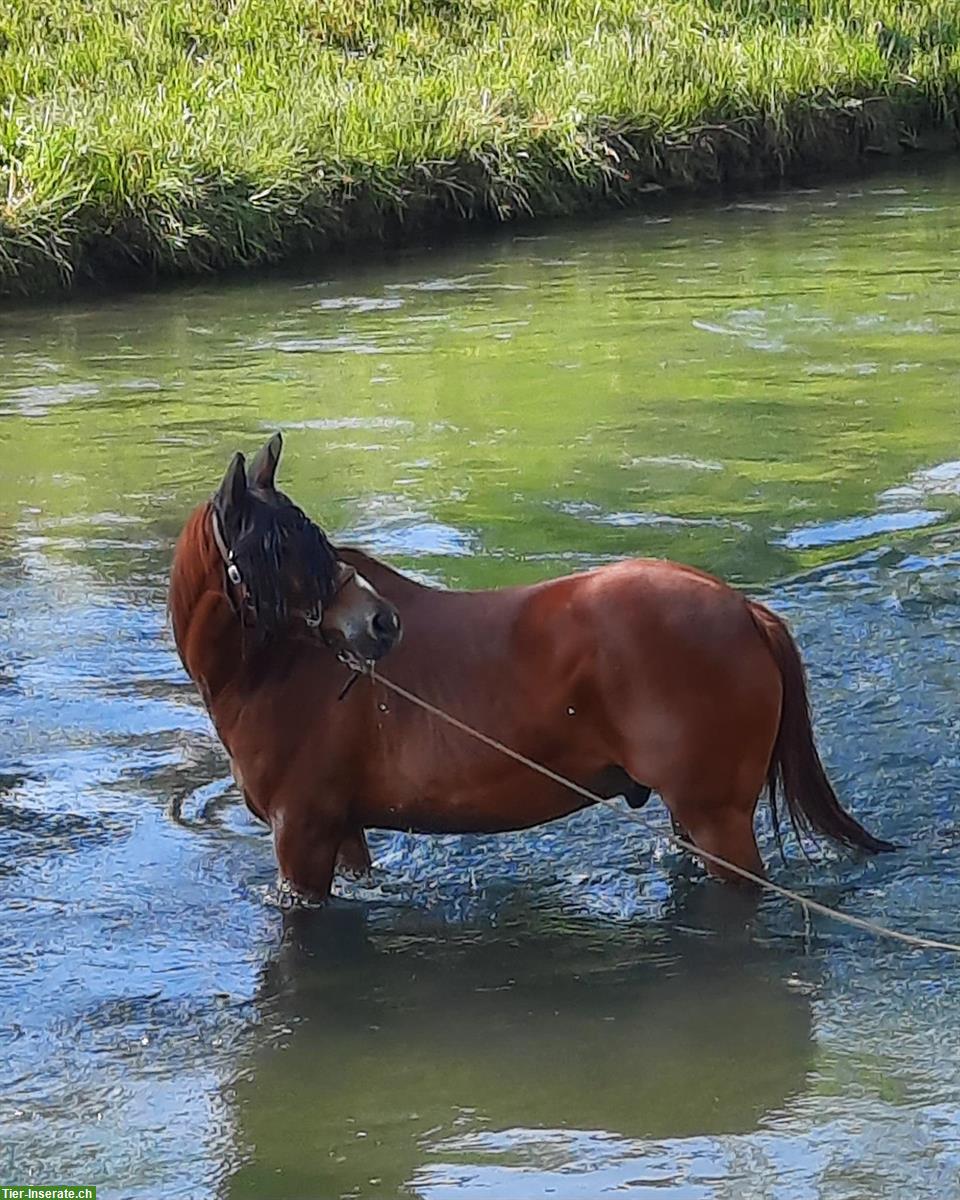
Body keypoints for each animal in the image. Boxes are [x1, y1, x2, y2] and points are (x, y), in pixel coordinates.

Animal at [169, 432, 897, 902]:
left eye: (306, 538)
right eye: (277, 545)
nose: (379, 624)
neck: (276, 672)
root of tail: (742, 608)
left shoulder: (302, 838)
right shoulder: (342, 834)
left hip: (718, 821)